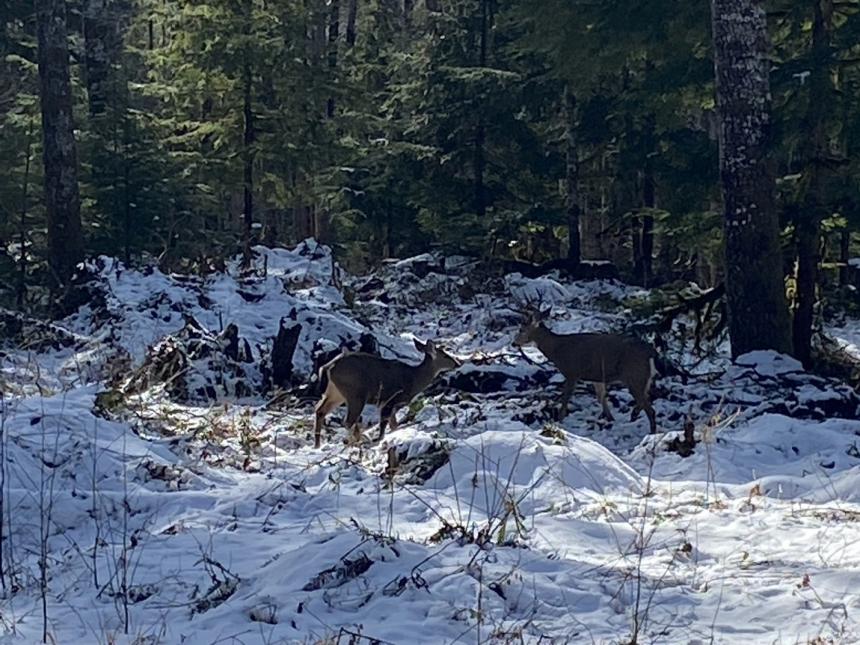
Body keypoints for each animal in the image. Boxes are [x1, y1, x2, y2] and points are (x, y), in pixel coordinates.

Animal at [312, 338, 460, 448]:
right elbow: (384, 424)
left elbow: (394, 425)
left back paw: (318, 445)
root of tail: (328, 367)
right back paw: (358, 441)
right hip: (356, 393)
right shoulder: (390, 400)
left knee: (320, 410)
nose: (457, 363)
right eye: (445, 355)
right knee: (347, 421)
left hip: (336, 393)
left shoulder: (391, 404)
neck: (414, 379)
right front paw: (380, 440)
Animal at [510, 306, 660, 432]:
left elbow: (565, 398)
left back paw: (650, 431)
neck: (557, 349)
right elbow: (601, 397)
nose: (513, 343)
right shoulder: (597, 376)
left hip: (635, 376)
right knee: (646, 399)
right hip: (644, 379)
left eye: (521, 329)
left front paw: (559, 420)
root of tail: (651, 352)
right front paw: (610, 419)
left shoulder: (572, 372)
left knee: (650, 409)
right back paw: (634, 414)